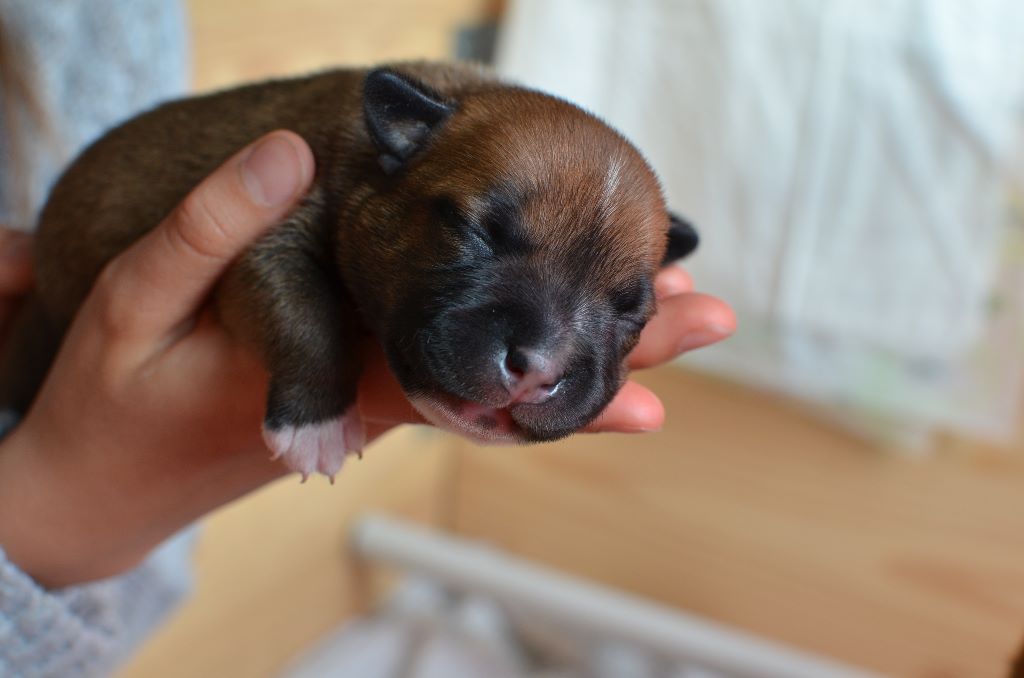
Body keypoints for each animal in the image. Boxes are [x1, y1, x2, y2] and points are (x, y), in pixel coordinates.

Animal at [0, 62, 698, 480]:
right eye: (477, 232)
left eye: (631, 313)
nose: (540, 372)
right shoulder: (272, 234)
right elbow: (307, 316)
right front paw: (318, 423)